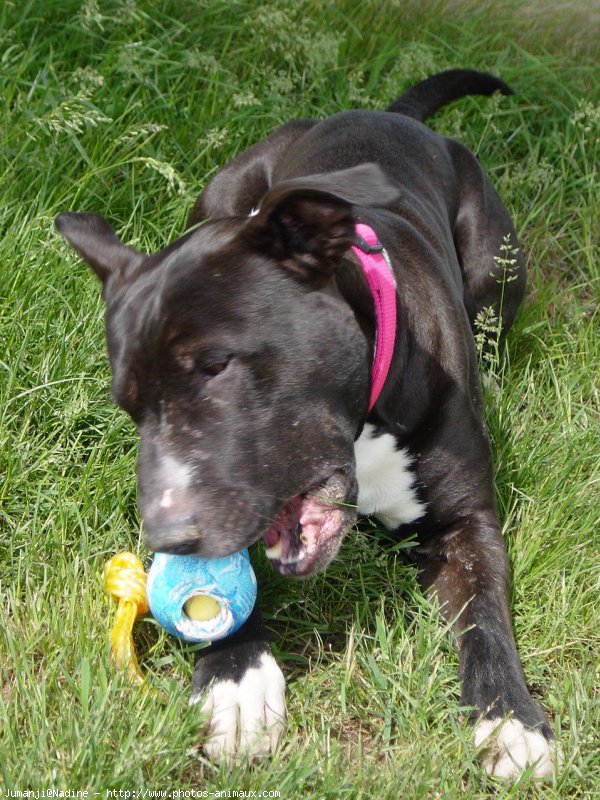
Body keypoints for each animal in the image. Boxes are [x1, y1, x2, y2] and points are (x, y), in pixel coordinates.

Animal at [56, 70, 556, 780]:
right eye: (131, 407)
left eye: (216, 365)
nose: (166, 535)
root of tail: (393, 114)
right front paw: (235, 684)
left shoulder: (468, 521)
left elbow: (486, 614)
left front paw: (510, 719)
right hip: (222, 188)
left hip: (498, 267)